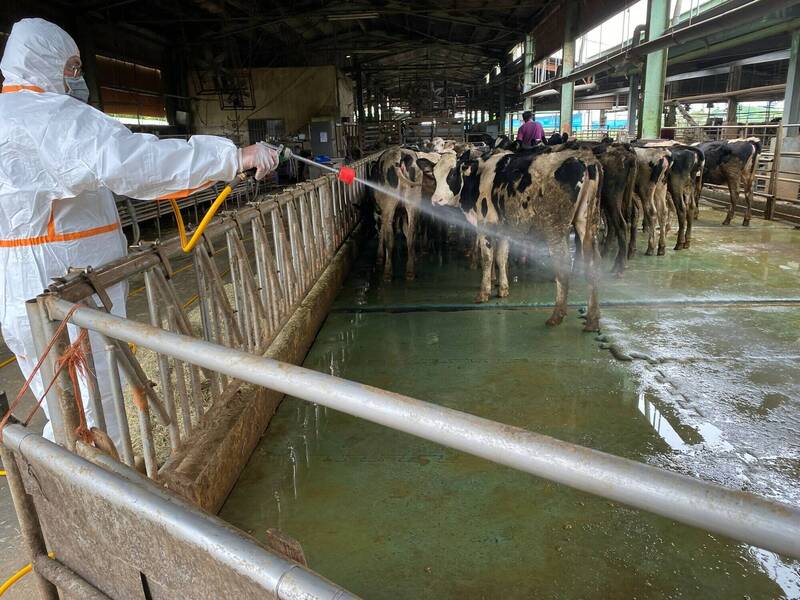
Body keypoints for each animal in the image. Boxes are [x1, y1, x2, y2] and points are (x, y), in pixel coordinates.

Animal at [418, 146, 600, 332]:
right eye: (434, 175)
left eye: (453, 173)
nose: (436, 200)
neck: (477, 177)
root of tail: (585, 160)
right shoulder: (504, 229)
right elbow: (501, 257)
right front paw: (503, 289)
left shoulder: (485, 224)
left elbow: (487, 258)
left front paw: (484, 293)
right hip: (586, 224)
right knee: (593, 264)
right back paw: (592, 320)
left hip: (555, 228)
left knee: (563, 265)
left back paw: (557, 316)